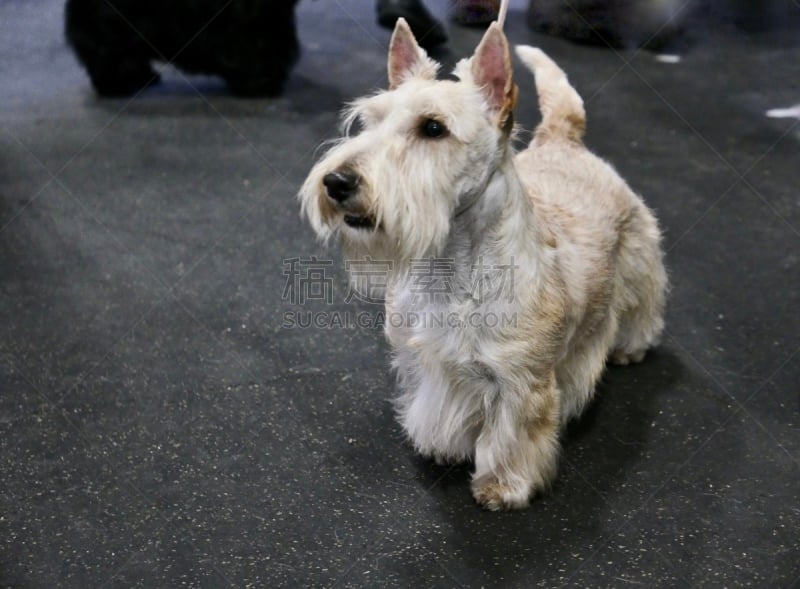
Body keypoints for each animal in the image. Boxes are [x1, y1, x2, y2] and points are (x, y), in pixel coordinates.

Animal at [296, 17, 664, 506]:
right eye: (370, 121)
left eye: (433, 127)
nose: (337, 182)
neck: (452, 268)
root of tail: (563, 139)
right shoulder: (424, 362)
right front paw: (441, 446)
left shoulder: (522, 382)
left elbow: (513, 436)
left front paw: (503, 486)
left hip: (639, 256)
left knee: (643, 308)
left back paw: (630, 347)